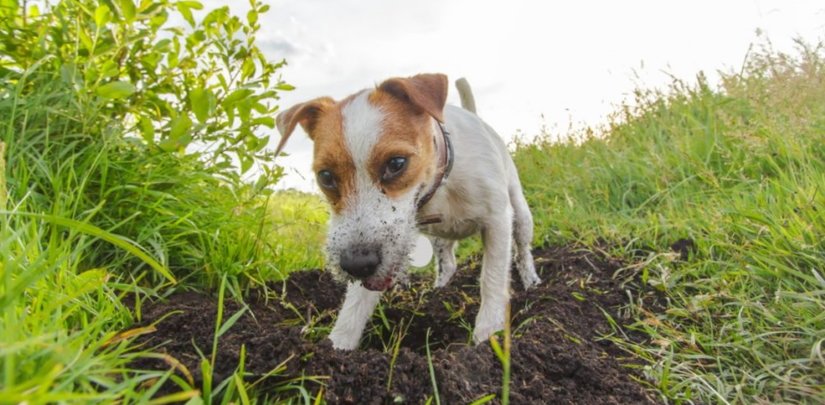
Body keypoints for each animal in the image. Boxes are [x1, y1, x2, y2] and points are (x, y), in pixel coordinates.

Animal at [274, 72, 536, 348]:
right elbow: (355, 303)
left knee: (522, 250)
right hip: (439, 239)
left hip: (520, 214)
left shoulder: (497, 221)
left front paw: (488, 333)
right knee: (448, 263)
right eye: (325, 177)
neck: (440, 183)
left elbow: (492, 277)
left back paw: (532, 282)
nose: (356, 264)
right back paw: (440, 289)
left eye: (396, 164)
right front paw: (338, 344)